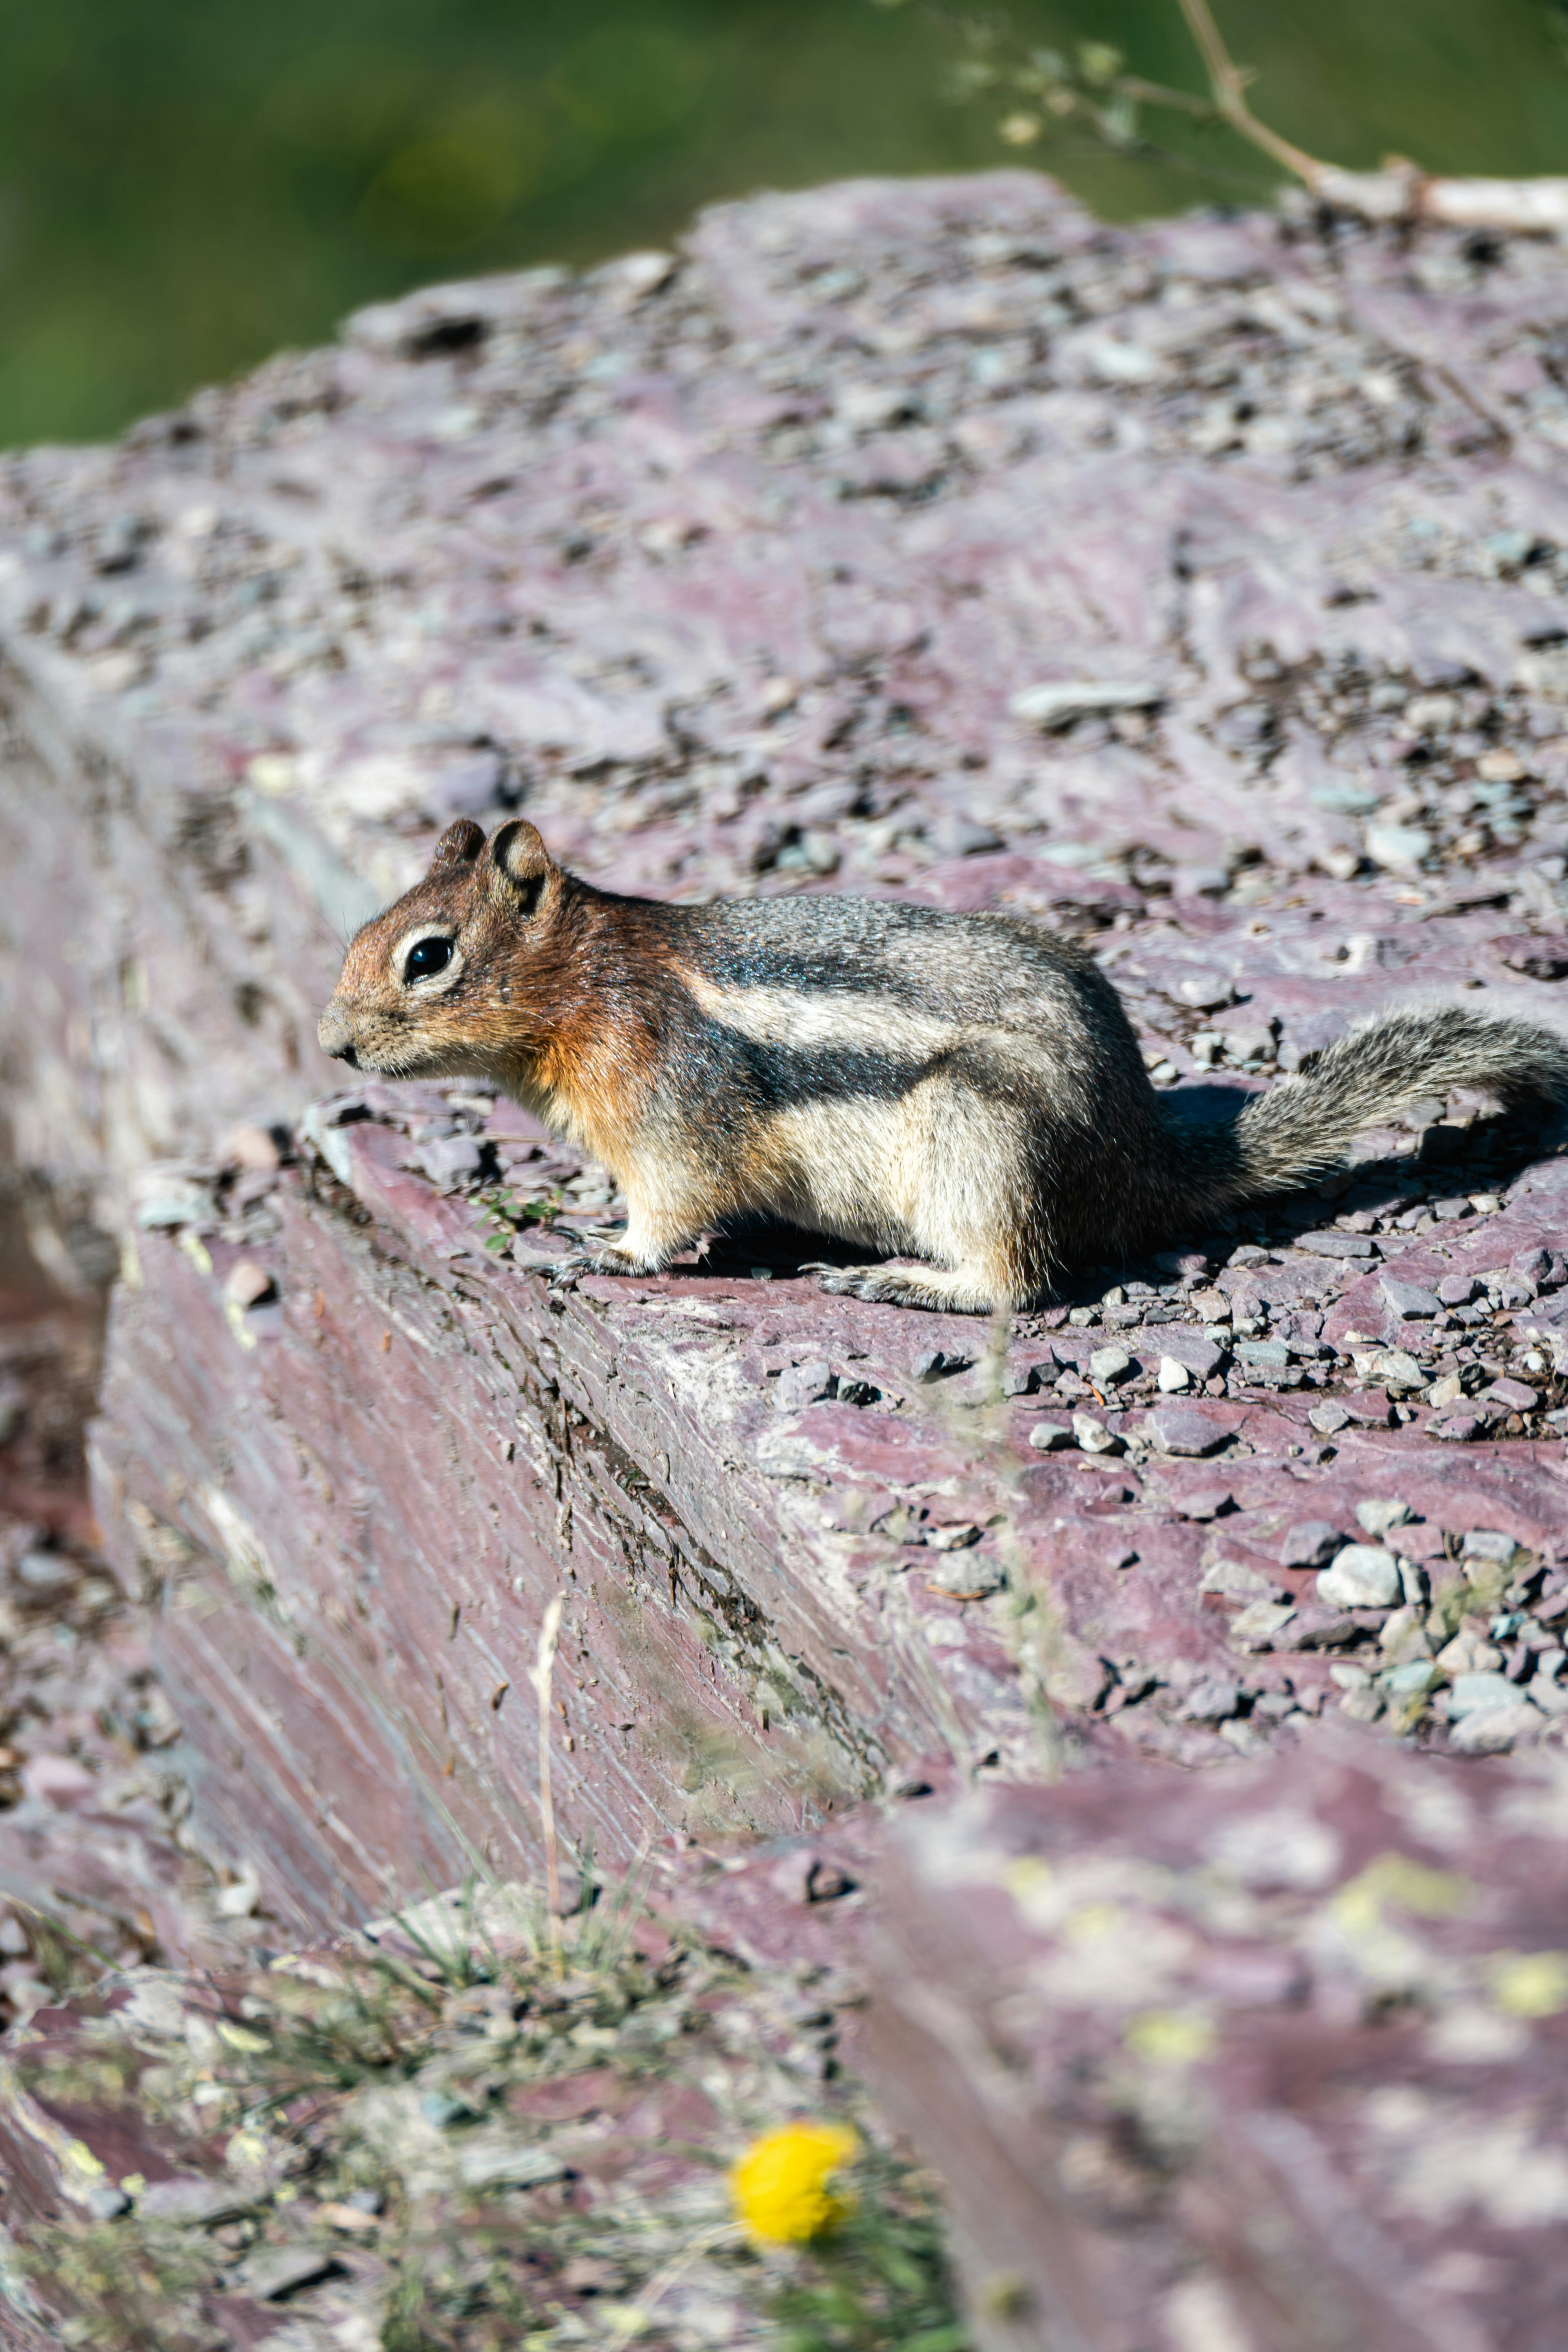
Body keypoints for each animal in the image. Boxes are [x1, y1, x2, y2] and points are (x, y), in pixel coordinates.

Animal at [318, 815, 1568, 1314]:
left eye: (428, 957)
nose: (332, 1047)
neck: (591, 986)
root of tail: (1139, 1163)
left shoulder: (673, 1122)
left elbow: (672, 1211)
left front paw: (610, 1252)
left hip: (983, 1137)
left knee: (1020, 1281)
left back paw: (912, 1283)